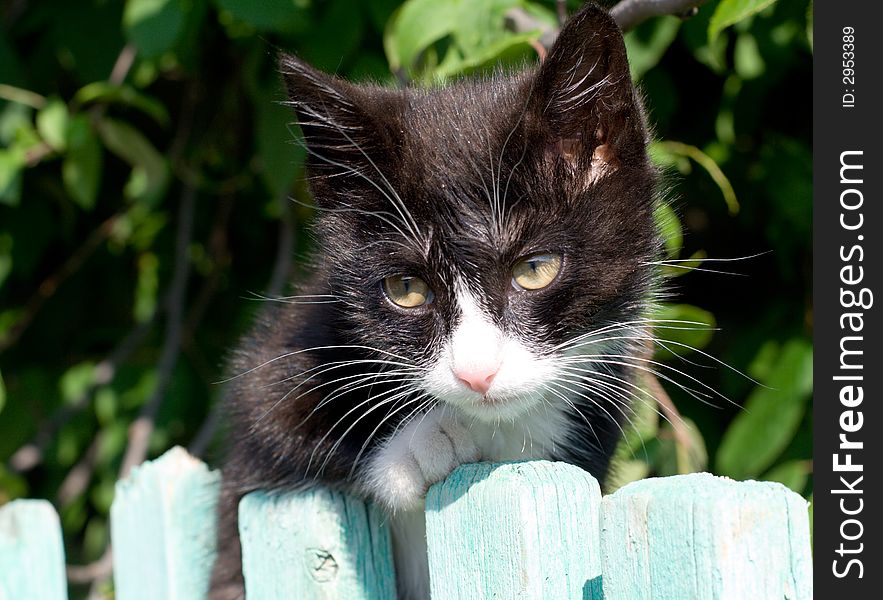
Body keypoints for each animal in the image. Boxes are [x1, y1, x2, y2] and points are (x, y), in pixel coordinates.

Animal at [211, 4, 660, 600]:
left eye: (534, 270)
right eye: (407, 290)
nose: (476, 373)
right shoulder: (279, 363)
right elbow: (273, 443)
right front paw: (428, 441)